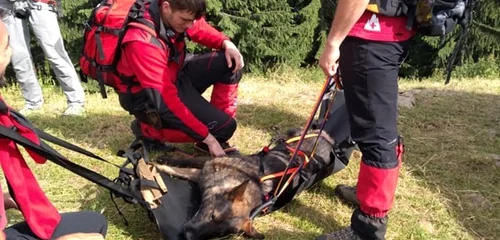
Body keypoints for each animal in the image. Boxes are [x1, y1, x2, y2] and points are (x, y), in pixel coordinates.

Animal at [156, 129, 336, 240]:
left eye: (217, 234)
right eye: (212, 215)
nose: (188, 236)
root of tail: (327, 137)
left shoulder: (204, 172)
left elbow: (184, 170)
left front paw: (162, 166)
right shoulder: (211, 161)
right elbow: (186, 161)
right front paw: (164, 161)